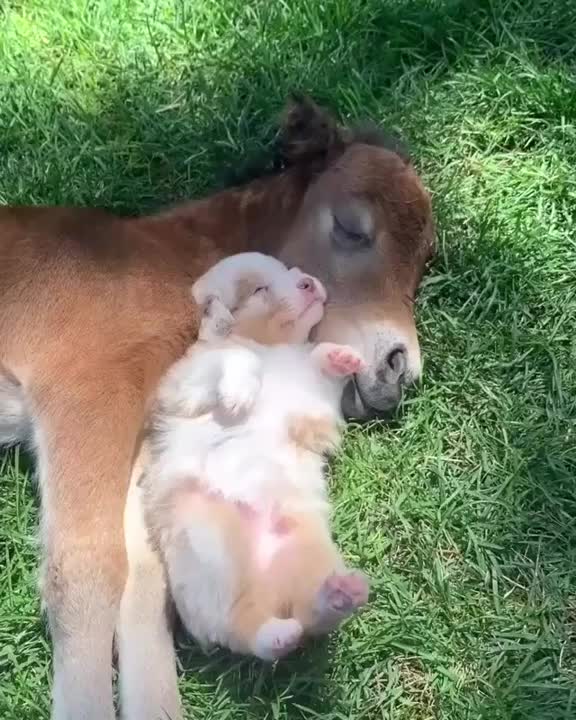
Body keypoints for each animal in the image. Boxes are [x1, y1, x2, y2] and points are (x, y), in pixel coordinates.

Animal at [0, 96, 434, 719]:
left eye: (425, 259)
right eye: (351, 228)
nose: (399, 367)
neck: (161, 262)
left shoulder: (148, 434)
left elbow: (145, 580)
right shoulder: (87, 390)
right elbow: (85, 571)